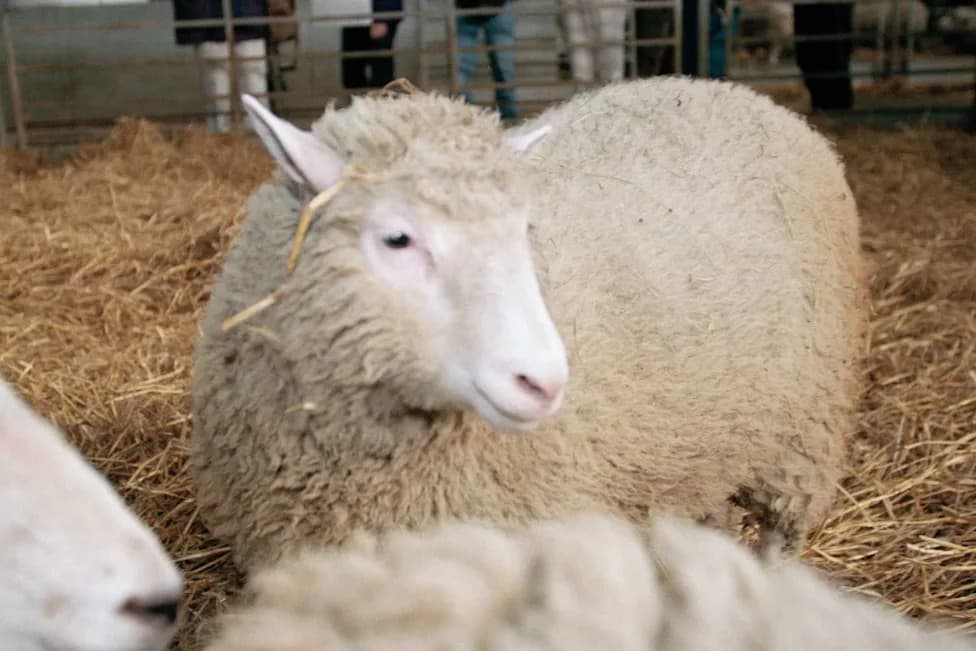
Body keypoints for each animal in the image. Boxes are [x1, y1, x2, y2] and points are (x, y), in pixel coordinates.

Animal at [190, 76, 867, 573]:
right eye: (398, 238)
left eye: (522, 229)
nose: (544, 382)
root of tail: (739, 92)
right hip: (707, 451)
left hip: (803, 433)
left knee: (781, 536)